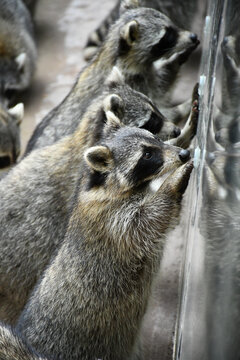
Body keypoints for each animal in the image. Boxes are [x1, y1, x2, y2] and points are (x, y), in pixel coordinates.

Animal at [16, 113, 193, 360]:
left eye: (156, 139)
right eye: (147, 154)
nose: (183, 154)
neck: (105, 184)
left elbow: (167, 220)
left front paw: (186, 135)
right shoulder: (111, 219)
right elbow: (149, 221)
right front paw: (172, 182)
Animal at [24, 2, 199, 155]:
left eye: (172, 26)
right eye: (167, 36)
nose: (192, 36)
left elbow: (160, 83)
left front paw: (178, 58)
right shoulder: (132, 82)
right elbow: (162, 106)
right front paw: (184, 107)